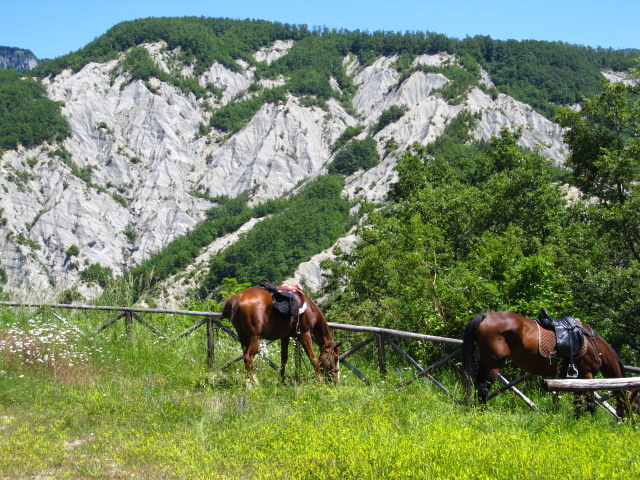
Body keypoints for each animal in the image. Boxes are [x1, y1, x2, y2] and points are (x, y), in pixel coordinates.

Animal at [462, 312, 628, 416]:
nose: (630, 422)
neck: (593, 345)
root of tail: (485, 316)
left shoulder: (578, 378)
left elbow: (578, 402)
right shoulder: (587, 375)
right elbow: (590, 402)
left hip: (486, 362)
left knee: (478, 384)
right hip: (493, 364)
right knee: (483, 389)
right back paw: (483, 411)